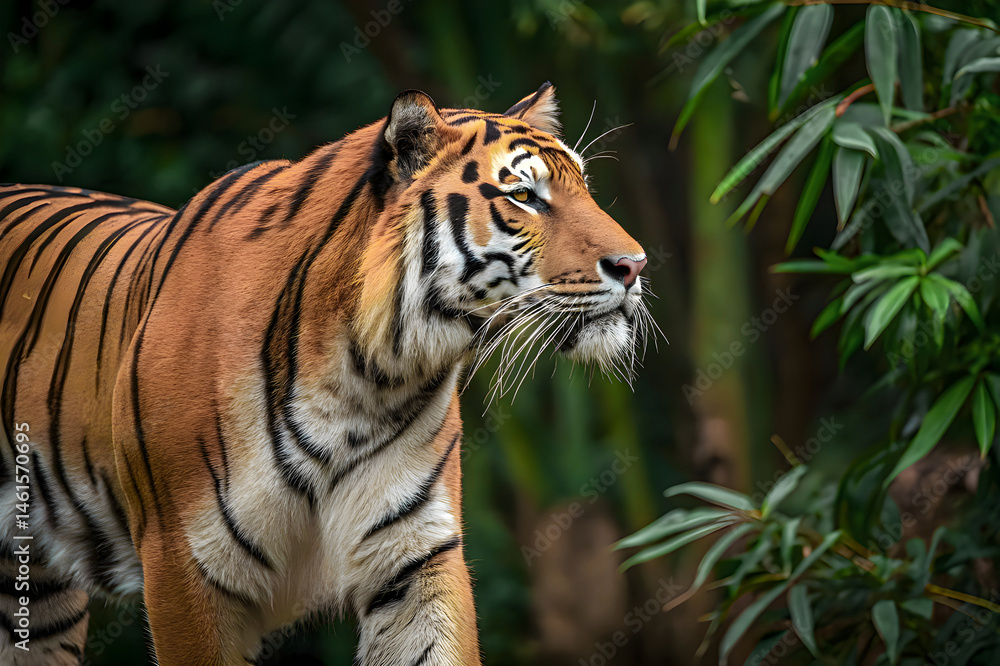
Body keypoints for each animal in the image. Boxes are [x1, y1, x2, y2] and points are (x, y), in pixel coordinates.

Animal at [0, 82, 650, 665]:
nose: (636, 265)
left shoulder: (413, 554)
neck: (365, 378)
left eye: (585, 188)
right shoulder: (182, 565)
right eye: (524, 196)